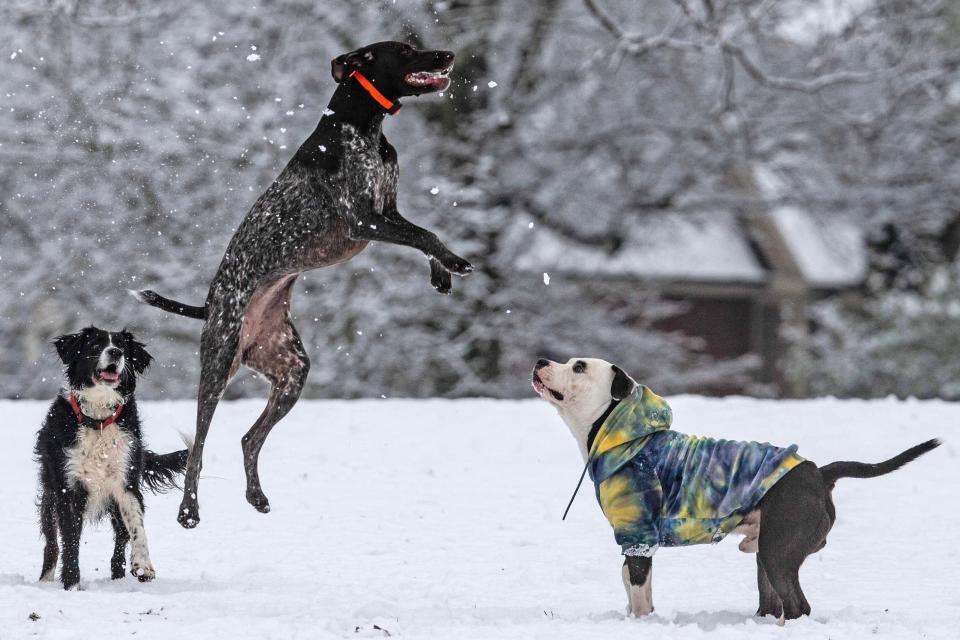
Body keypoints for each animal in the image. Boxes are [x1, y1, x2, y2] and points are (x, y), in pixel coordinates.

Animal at [135, 41, 472, 528]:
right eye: (406, 51)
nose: (447, 55)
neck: (362, 125)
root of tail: (211, 304)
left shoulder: (388, 211)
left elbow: (426, 233)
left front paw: (441, 271)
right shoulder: (364, 219)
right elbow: (426, 235)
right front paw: (454, 262)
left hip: (292, 370)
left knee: (249, 438)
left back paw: (256, 496)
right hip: (218, 366)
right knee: (198, 446)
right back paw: (188, 511)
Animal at [528, 356, 940, 620]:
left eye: (578, 366)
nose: (541, 360)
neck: (621, 434)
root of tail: (818, 473)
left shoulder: (639, 535)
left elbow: (640, 592)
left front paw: (641, 624)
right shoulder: (634, 543)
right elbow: (631, 586)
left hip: (777, 551)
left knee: (798, 607)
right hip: (767, 554)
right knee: (773, 604)